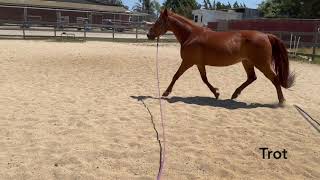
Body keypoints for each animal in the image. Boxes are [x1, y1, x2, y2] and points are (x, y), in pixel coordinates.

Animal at [146, 9, 294, 105]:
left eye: (158, 21)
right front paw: (216, 93)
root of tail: (266, 35)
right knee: (252, 78)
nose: (149, 34)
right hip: (247, 62)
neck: (191, 35)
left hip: (262, 63)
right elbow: (204, 79)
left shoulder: (188, 61)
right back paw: (235, 94)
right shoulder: (199, 63)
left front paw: (166, 92)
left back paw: (281, 102)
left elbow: (176, 76)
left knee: (274, 79)